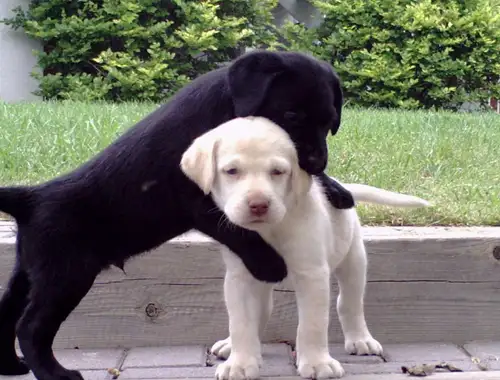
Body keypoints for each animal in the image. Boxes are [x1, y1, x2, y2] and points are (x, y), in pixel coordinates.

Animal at [0, 50, 352, 380]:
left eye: (329, 122)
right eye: (291, 115)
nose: (317, 162)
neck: (223, 108)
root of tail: (30, 197)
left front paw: (337, 190)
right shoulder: (196, 199)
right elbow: (235, 228)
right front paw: (269, 264)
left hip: (31, 272)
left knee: (7, 311)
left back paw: (11, 364)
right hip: (66, 276)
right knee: (30, 327)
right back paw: (54, 373)